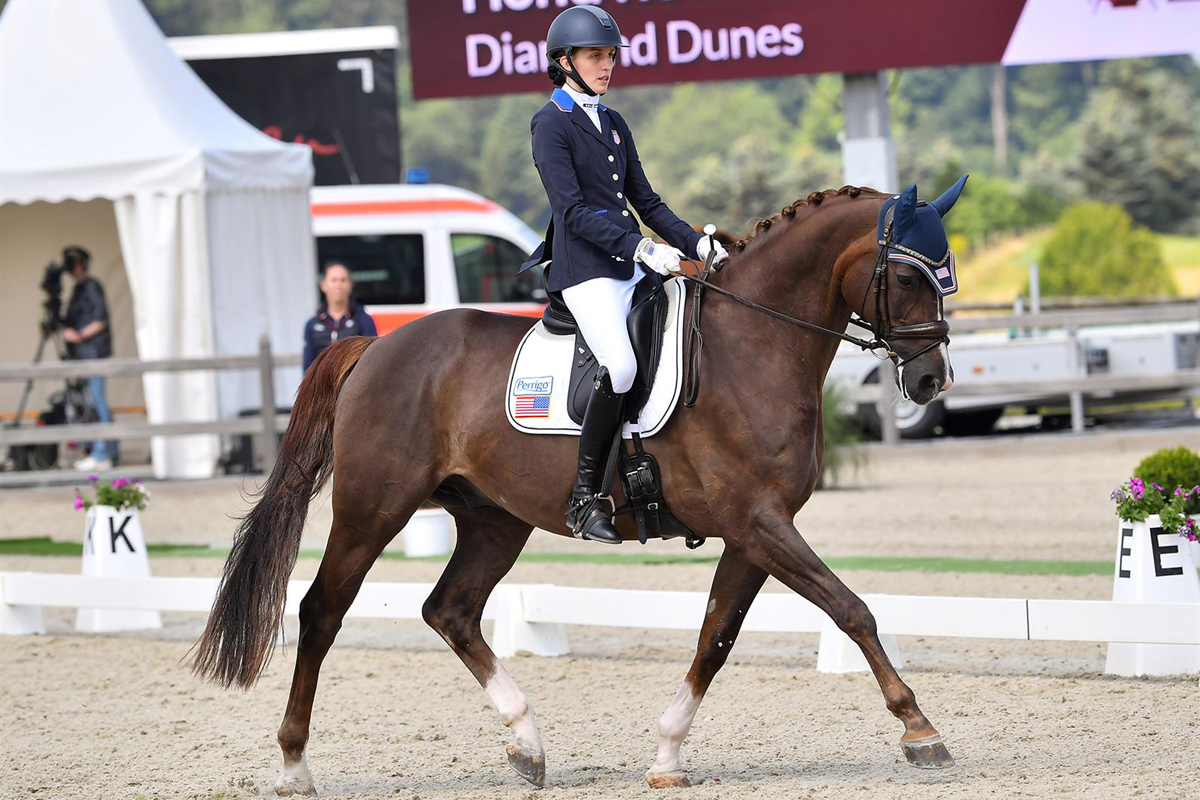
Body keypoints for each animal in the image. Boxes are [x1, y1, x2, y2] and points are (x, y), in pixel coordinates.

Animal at [196, 183, 964, 796]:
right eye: (905, 278)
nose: (932, 381)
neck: (753, 345)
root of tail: (376, 346)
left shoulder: (752, 531)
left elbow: (715, 638)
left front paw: (667, 755)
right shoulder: (759, 522)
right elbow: (852, 610)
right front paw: (919, 730)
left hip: (494, 520)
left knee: (450, 610)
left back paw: (526, 744)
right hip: (372, 508)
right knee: (322, 611)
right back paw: (294, 765)